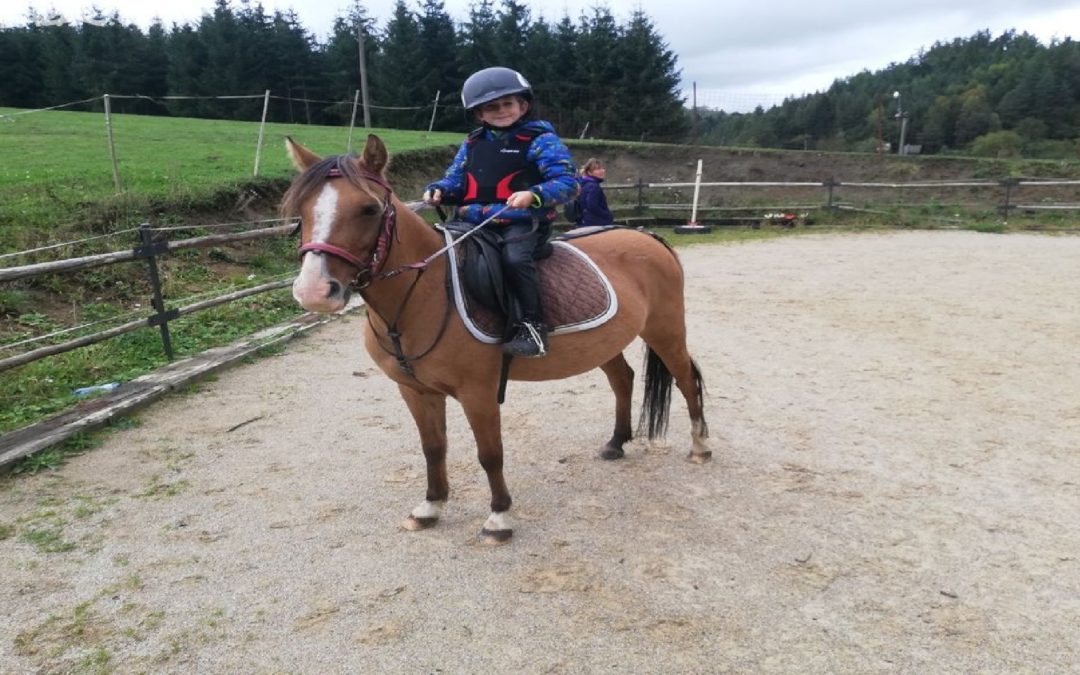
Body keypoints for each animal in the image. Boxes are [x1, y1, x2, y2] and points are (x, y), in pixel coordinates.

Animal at [282, 135, 712, 542]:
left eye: (368, 209)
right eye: (300, 210)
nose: (314, 291)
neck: (426, 292)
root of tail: (648, 237)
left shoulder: (479, 391)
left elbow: (490, 453)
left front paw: (499, 517)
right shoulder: (416, 391)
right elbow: (432, 448)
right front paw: (431, 506)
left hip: (666, 331)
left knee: (686, 380)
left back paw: (700, 447)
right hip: (606, 342)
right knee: (623, 380)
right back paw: (616, 443)